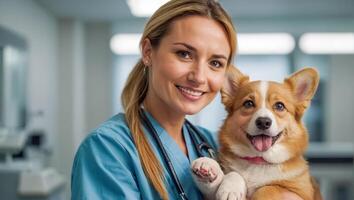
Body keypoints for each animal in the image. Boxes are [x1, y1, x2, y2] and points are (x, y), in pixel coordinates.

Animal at [192, 66, 322, 199]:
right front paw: (228, 185)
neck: (259, 160)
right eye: (248, 103)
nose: (263, 122)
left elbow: (268, 188)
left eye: (279, 106)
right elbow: (233, 174)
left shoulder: (301, 193)